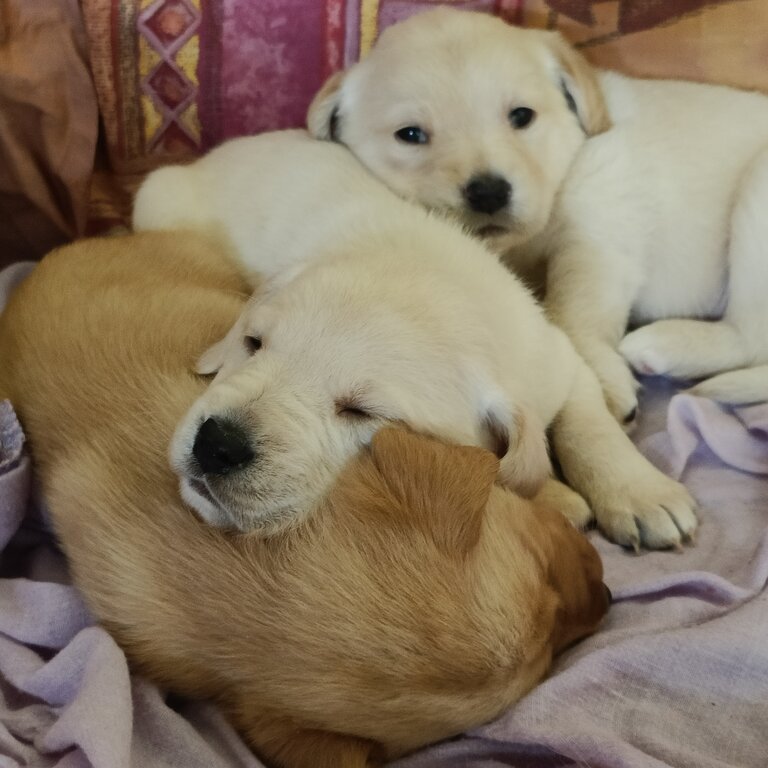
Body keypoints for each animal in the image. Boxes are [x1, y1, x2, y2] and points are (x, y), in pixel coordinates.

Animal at [135, 132, 700, 552]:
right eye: (253, 343)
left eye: (363, 412)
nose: (216, 444)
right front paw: (562, 496)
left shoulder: (555, 357)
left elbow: (587, 424)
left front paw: (642, 493)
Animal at [308, 6, 768, 424]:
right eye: (410, 135)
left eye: (521, 116)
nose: (489, 192)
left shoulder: (599, 240)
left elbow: (571, 312)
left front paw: (603, 382)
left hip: (755, 202)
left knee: (749, 335)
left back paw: (663, 345)